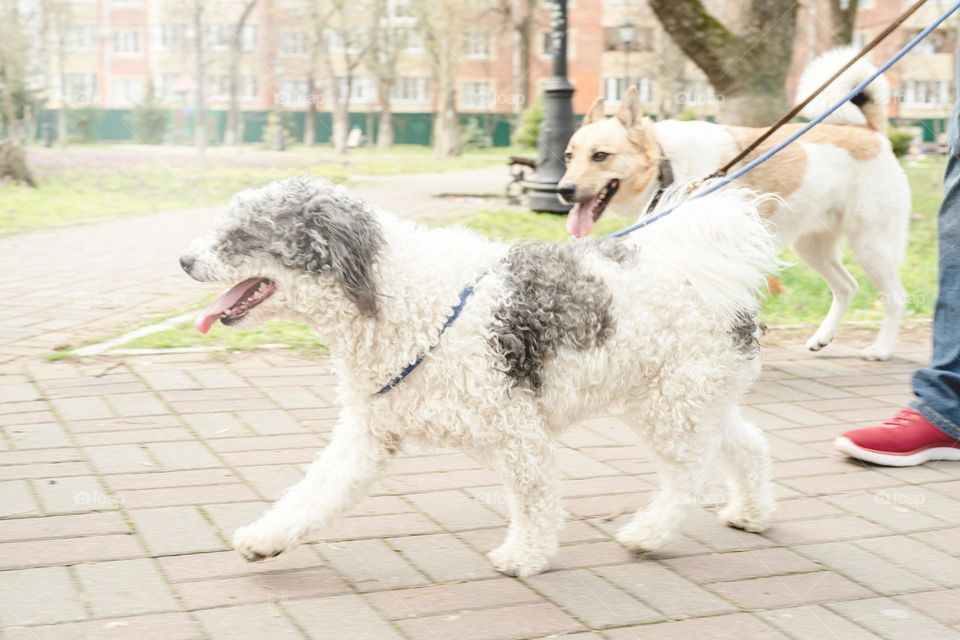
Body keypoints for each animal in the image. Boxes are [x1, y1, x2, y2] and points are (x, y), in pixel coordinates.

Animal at [180, 178, 780, 576]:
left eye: (241, 235)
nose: (184, 260)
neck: (402, 298)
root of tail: (705, 271)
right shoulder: (367, 434)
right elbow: (312, 494)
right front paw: (265, 539)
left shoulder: (518, 430)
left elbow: (535, 500)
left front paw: (526, 556)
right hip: (686, 400)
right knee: (747, 448)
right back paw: (750, 513)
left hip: (670, 406)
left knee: (690, 477)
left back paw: (648, 534)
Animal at [560, 48, 912, 360]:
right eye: (568, 156)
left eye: (600, 156)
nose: (563, 190)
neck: (665, 164)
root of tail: (872, 133)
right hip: (813, 249)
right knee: (847, 287)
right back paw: (822, 338)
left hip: (872, 246)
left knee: (895, 297)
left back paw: (881, 350)